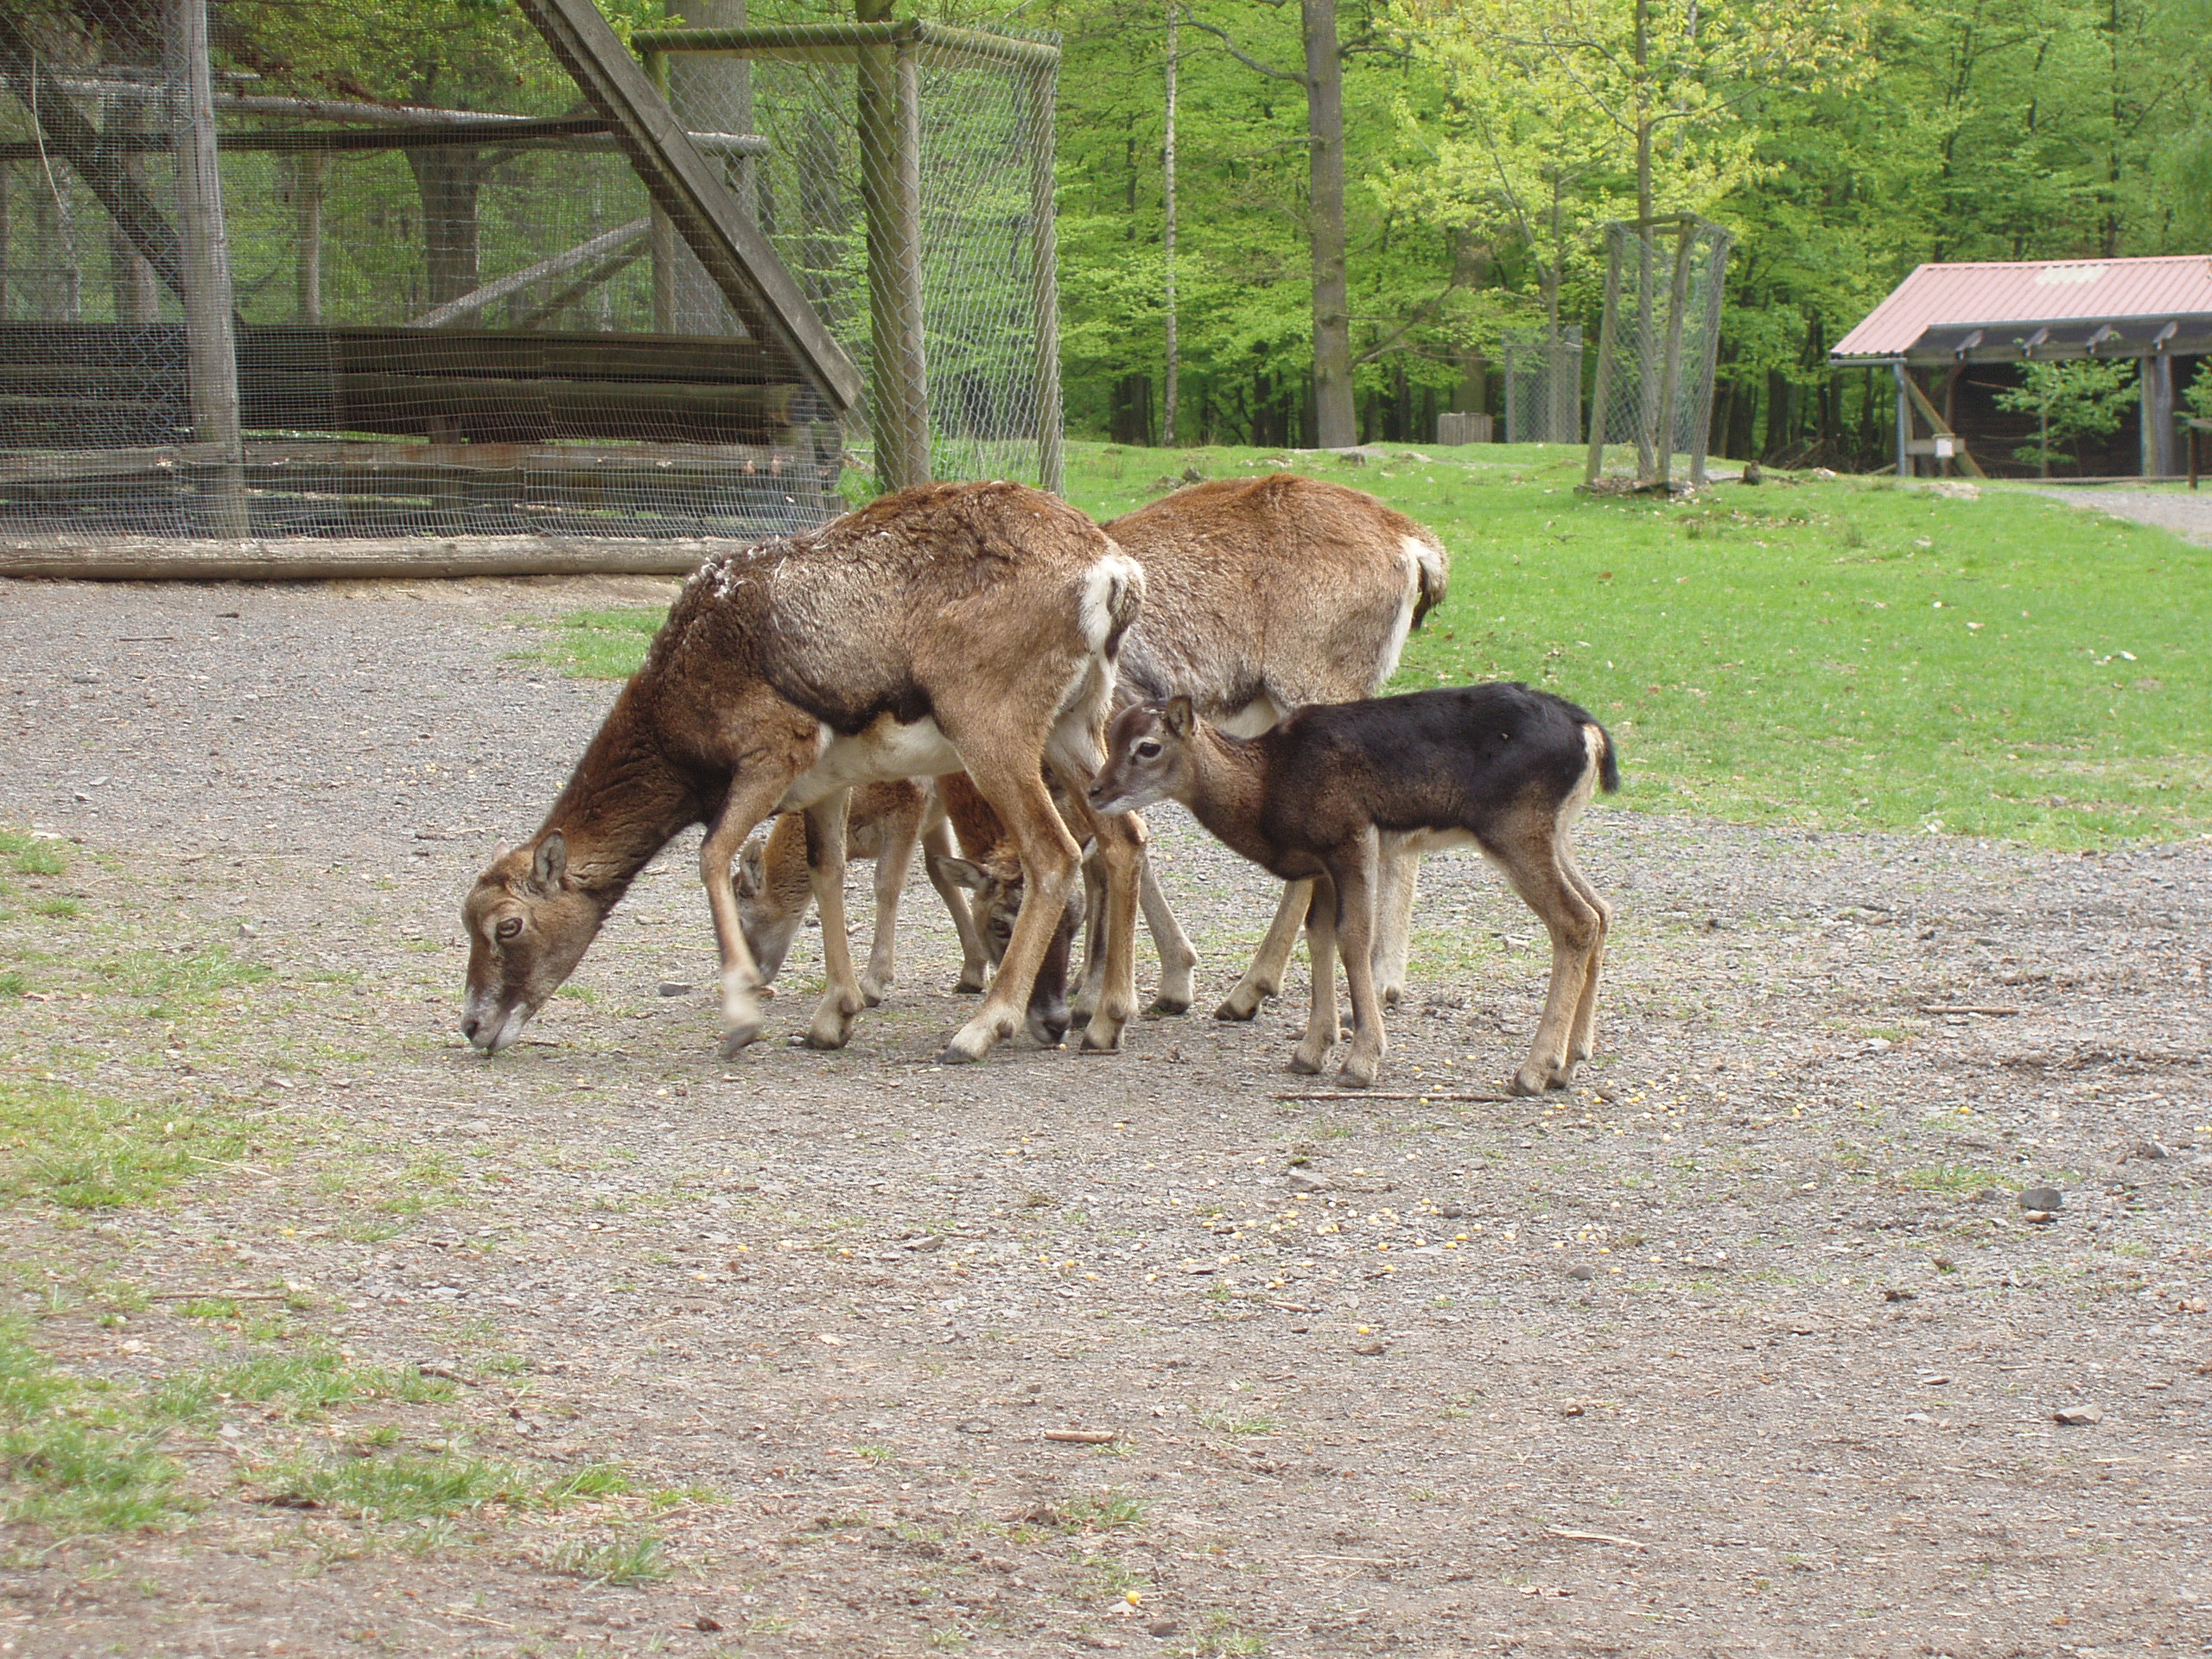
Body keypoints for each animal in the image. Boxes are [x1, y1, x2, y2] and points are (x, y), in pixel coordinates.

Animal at [459, 480, 1148, 1067]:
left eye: (507, 925)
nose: (472, 1025)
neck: (683, 688)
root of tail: (1111, 572)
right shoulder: (825, 787)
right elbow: (828, 874)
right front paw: (831, 1020)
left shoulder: (770, 759)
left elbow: (712, 856)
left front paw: (741, 1020)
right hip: (1073, 726)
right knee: (1124, 839)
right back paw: (1105, 1022)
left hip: (994, 735)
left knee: (1053, 853)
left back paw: (980, 1029)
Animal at [731, 473, 1449, 1020]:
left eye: (744, 906)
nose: (756, 974)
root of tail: (1417, 545)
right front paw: (1156, 981)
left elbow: (1097, 857)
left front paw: (1099, 990)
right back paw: (1343, 978)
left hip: (1316, 685)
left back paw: (1283, 987)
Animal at [1088, 681, 1618, 1094]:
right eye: (1110, 735)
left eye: (1148, 746)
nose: (1095, 791)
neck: (1268, 786)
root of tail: (1591, 736)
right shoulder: (1321, 864)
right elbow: (1318, 934)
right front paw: (1309, 1052)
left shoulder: (1351, 836)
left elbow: (1354, 937)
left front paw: (1361, 1062)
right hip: (1554, 833)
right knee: (1602, 909)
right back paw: (1570, 1063)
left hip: (1515, 828)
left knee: (1575, 920)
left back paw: (1533, 1071)